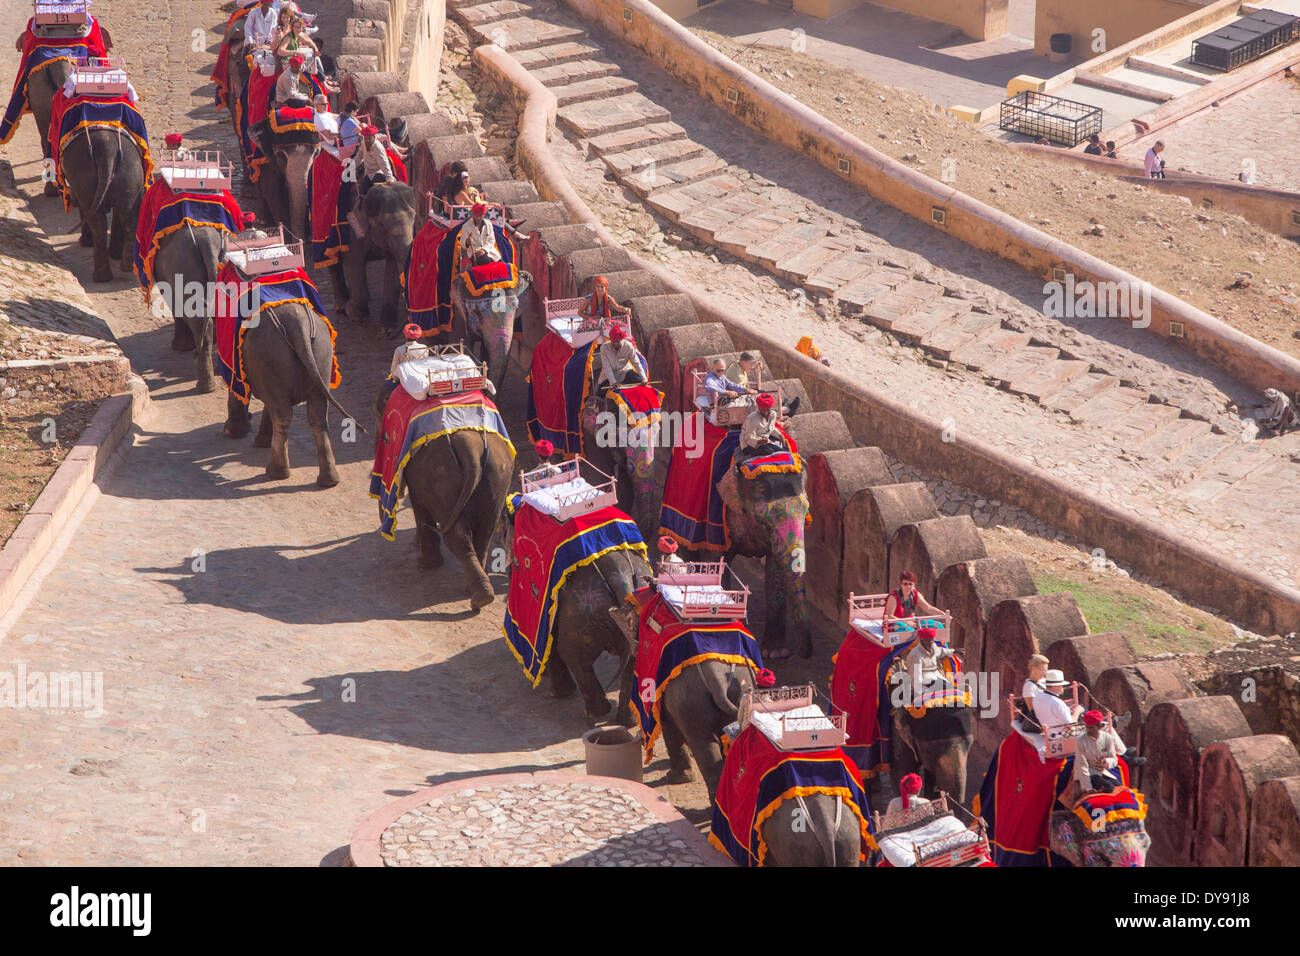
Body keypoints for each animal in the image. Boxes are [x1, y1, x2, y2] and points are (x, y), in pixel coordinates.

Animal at [56, 125, 146, 280]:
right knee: (128, 218)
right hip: (130, 175)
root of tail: (107, 149)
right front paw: (115, 254)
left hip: (84, 179)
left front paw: (85, 243)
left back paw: (100, 276)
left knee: (98, 224)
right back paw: (126, 267)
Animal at [223, 299, 345, 489]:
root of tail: (299, 324)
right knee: (317, 414)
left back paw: (275, 473)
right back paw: (329, 481)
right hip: (322, 352)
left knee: (283, 414)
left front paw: (234, 432)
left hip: (271, 355)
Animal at [343, 180, 413, 330]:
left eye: (414, 218)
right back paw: (342, 306)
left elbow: (392, 265)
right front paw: (355, 314)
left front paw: (388, 326)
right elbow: (354, 261)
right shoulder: (352, 231)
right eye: (382, 225)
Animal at [371, 379, 512, 606]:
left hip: (440, 479)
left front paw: (424, 563)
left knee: (456, 535)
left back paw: (478, 595)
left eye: (377, 411)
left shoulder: (417, 474)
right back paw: (481, 593)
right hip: (497, 476)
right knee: (484, 532)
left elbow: (419, 507)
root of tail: (470, 449)